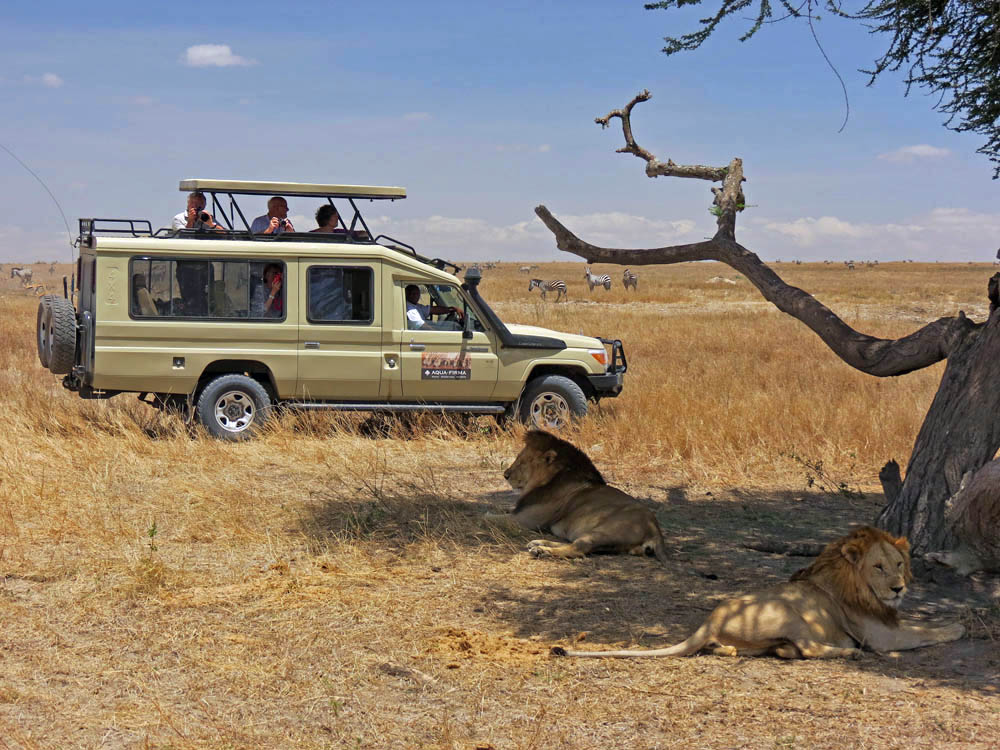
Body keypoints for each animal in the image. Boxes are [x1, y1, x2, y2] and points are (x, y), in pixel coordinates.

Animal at [488, 428, 668, 564]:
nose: (505, 475)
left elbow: (488, 518)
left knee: (579, 548)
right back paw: (538, 543)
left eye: (523, 462)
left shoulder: (526, 520)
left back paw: (541, 550)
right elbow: (502, 510)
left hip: (603, 532)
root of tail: (655, 530)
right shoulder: (519, 511)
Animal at [552, 524, 964, 660]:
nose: (899, 587)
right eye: (878, 567)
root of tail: (710, 620)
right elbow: (927, 631)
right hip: (789, 612)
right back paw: (845, 652)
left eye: (898, 564)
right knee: (810, 648)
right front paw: (960, 625)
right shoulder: (880, 635)